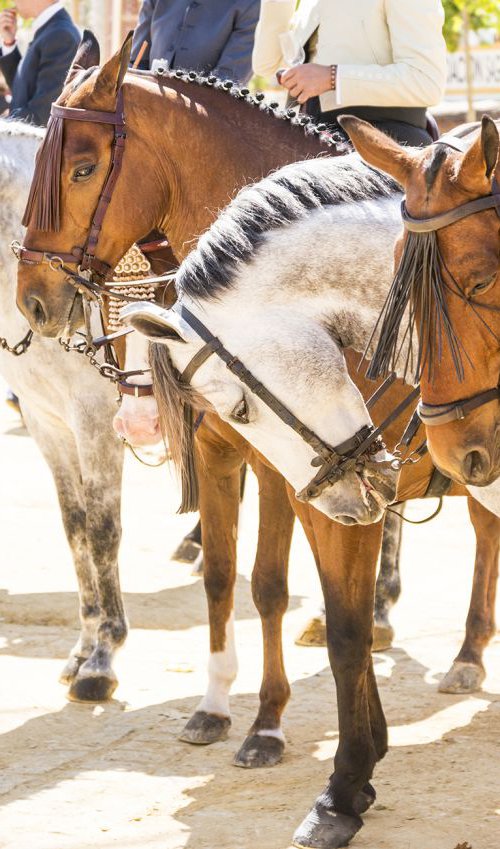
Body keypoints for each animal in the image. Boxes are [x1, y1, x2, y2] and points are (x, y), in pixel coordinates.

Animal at [13, 34, 498, 848]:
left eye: (81, 167)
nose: (34, 302)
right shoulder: (253, 461)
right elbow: (234, 580)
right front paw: (234, 715)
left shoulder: (309, 477)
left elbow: (299, 600)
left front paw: (313, 760)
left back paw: (464, 653)